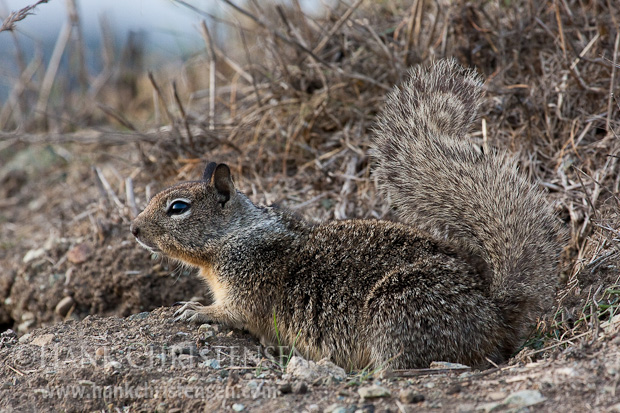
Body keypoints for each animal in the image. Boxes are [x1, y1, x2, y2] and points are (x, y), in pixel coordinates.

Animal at [131, 59, 560, 368]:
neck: (233, 237)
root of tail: (495, 316)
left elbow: (233, 314)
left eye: (178, 207)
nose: (134, 229)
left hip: (399, 308)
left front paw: (195, 311)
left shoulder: (247, 283)